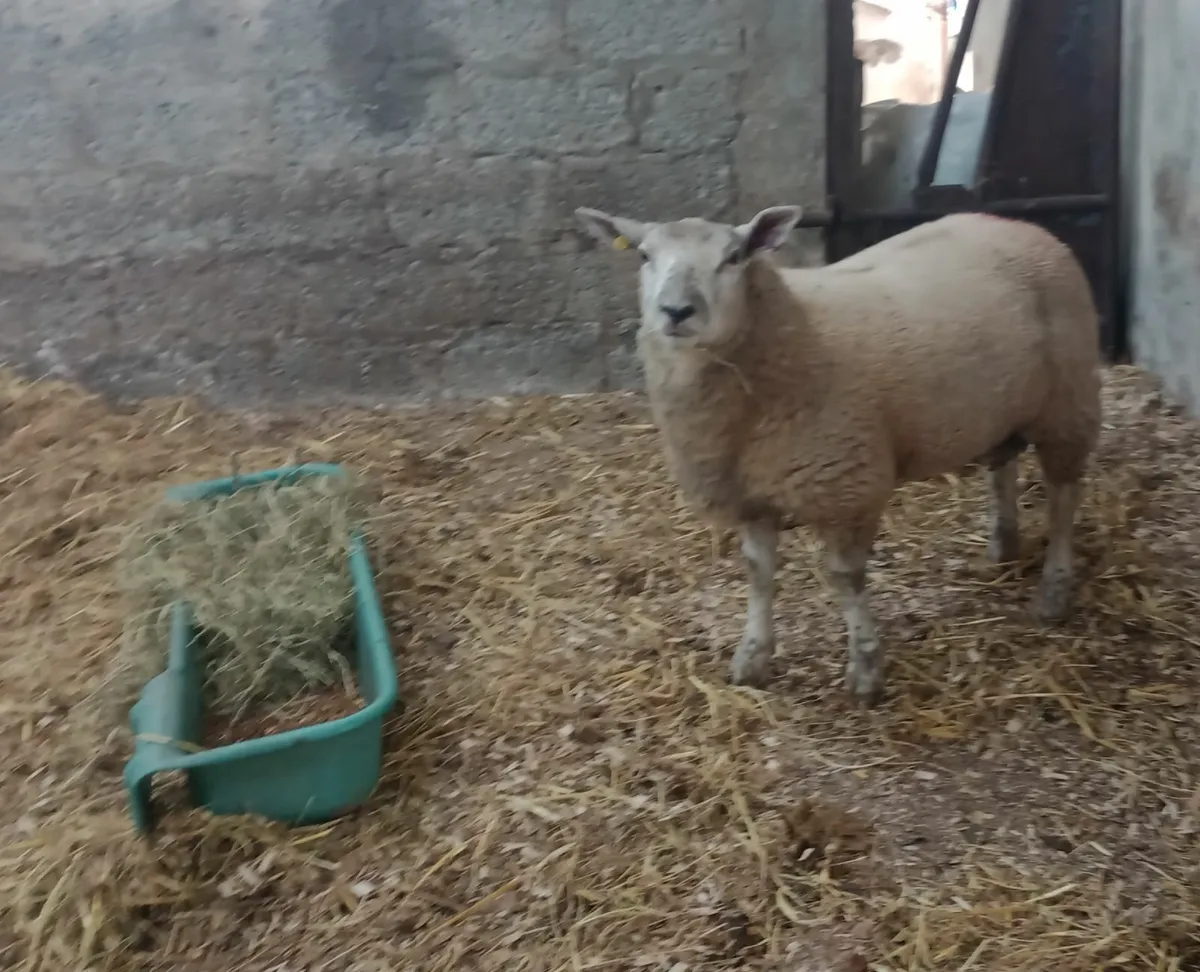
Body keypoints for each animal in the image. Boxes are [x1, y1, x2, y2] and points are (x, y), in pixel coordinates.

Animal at [574, 204, 1102, 705]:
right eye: (644, 256)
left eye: (734, 257)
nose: (677, 311)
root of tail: (1016, 223)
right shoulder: (751, 494)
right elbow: (758, 574)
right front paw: (752, 658)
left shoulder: (848, 487)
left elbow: (847, 579)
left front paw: (865, 670)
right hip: (1000, 406)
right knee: (1003, 464)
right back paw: (1003, 542)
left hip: (1068, 401)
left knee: (1063, 496)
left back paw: (1054, 590)